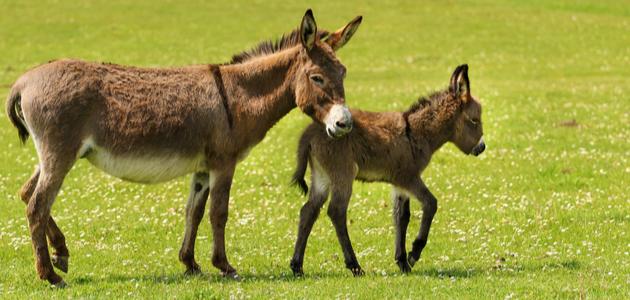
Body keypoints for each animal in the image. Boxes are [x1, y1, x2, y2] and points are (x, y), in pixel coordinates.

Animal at [292, 64, 488, 276]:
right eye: (474, 120)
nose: (482, 148)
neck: (416, 132)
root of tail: (309, 133)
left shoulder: (400, 184)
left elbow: (401, 217)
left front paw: (402, 262)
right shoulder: (408, 177)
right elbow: (430, 204)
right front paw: (414, 253)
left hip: (322, 176)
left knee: (309, 211)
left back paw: (297, 266)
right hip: (342, 174)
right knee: (336, 211)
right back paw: (354, 265)